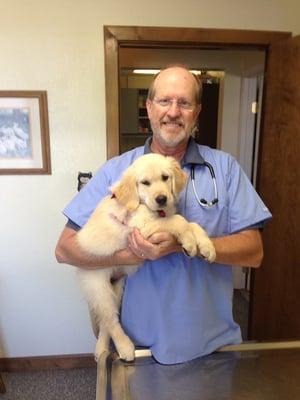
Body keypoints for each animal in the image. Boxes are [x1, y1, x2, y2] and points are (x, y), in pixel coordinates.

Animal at [76, 153, 214, 362]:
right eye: (145, 183)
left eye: (165, 177)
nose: (162, 199)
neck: (144, 205)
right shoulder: (140, 228)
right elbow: (178, 220)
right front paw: (189, 242)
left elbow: (193, 224)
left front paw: (206, 246)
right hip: (98, 287)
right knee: (110, 320)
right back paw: (125, 347)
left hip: (117, 287)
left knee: (106, 322)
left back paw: (101, 349)